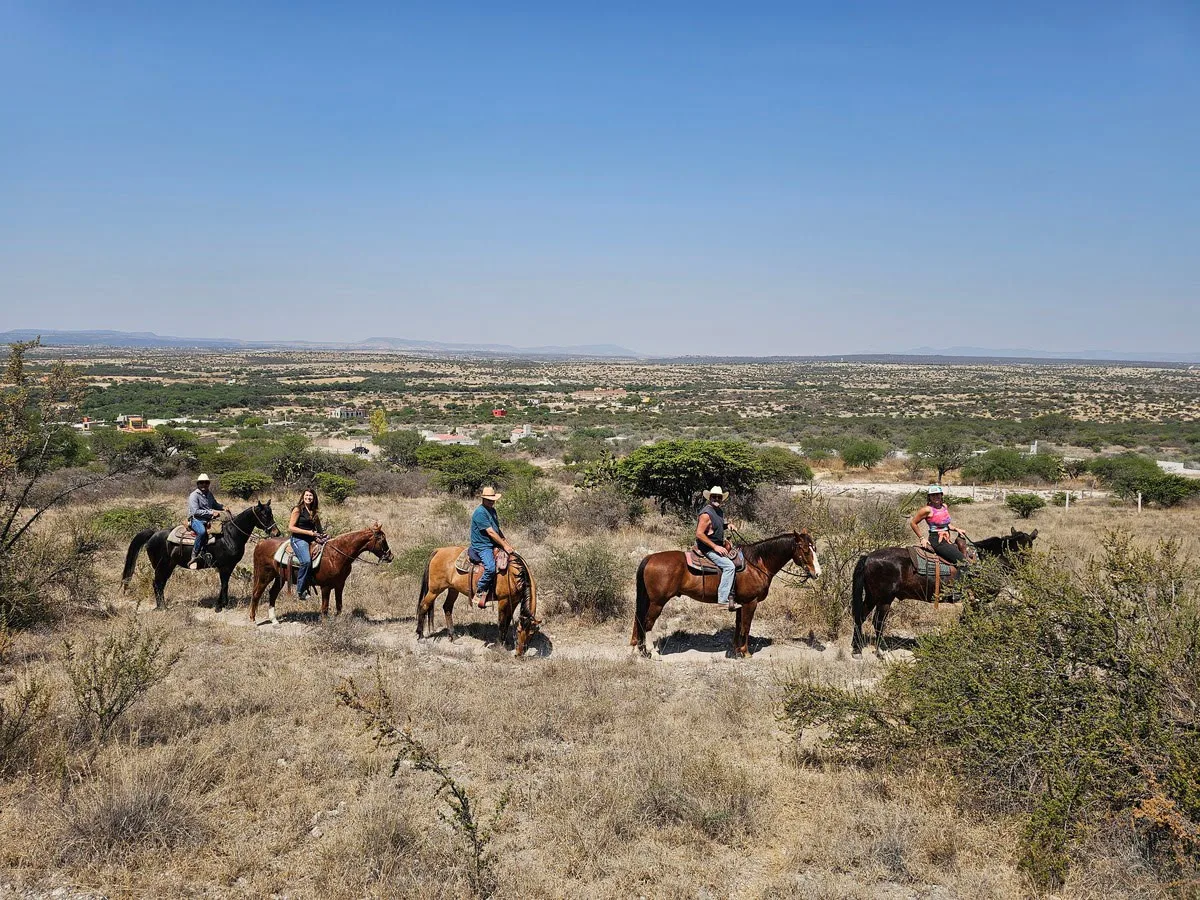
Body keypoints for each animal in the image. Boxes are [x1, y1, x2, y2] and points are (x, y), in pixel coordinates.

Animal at [121, 501, 281, 610]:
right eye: (264, 515)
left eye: (271, 514)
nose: (276, 533)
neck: (230, 535)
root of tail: (153, 534)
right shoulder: (224, 566)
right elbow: (224, 584)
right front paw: (220, 606)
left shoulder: (229, 566)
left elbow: (225, 584)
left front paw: (223, 603)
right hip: (162, 565)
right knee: (157, 583)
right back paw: (162, 607)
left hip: (168, 566)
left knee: (160, 584)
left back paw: (162, 605)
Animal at [248, 523, 394, 624]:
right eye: (382, 539)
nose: (390, 557)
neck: (336, 555)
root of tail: (261, 542)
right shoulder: (326, 587)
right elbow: (324, 608)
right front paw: (325, 624)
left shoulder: (340, 585)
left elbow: (339, 605)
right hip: (264, 576)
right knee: (256, 594)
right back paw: (253, 619)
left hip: (280, 578)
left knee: (272, 593)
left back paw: (274, 620)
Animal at [630, 531, 821, 659]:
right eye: (805, 550)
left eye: (815, 548)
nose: (817, 573)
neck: (757, 564)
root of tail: (650, 558)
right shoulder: (751, 602)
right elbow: (746, 626)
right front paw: (745, 653)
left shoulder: (740, 603)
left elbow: (738, 626)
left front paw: (736, 650)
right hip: (658, 602)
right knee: (647, 623)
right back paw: (653, 652)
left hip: (649, 600)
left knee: (638, 619)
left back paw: (636, 649)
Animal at [851, 527, 1039, 657]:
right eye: (1017, 548)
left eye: (1028, 548)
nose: (1023, 571)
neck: (987, 561)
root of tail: (868, 557)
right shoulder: (978, 599)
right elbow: (969, 621)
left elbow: (965, 621)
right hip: (884, 599)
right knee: (878, 622)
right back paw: (880, 652)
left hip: (872, 596)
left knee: (860, 617)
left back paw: (857, 650)